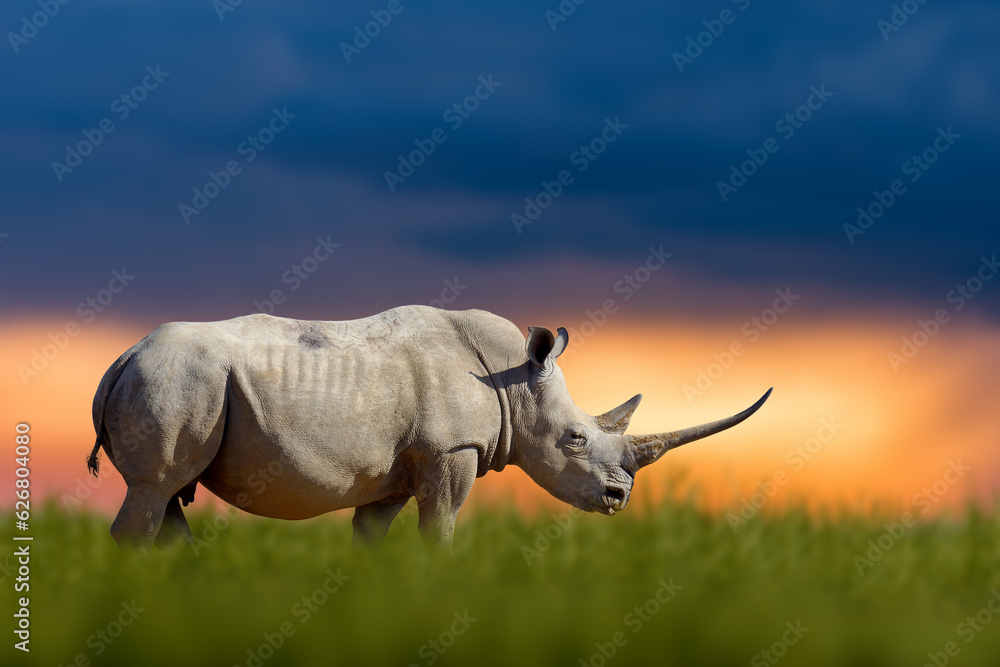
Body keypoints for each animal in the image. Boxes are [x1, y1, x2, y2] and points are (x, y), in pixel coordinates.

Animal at [88, 306, 770, 551]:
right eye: (575, 440)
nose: (618, 497)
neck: (516, 382)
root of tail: (120, 358)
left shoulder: (396, 466)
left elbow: (370, 535)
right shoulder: (450, 449)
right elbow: (439, 527)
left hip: (179, 382)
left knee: (167, 497)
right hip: (178, 380)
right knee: (154, 491)